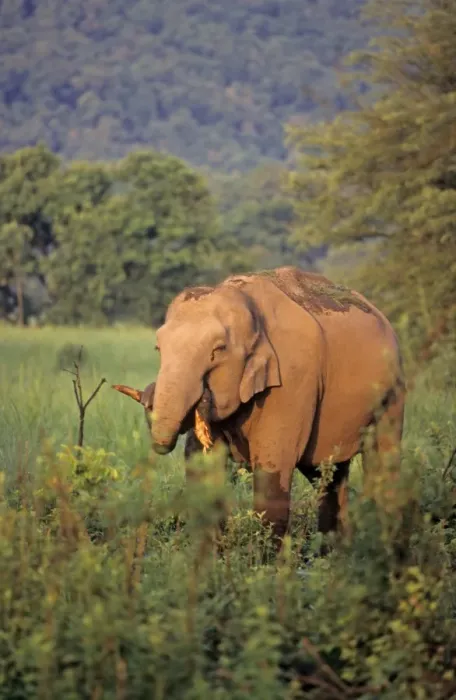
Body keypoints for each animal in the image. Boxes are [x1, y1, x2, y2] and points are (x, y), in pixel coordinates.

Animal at [113, 266, 405, 550]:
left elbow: (272, 471)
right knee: (328, 475)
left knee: (382, 462)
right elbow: (204, 470)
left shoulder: (290, 380)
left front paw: (264, 562)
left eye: (217, 351)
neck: (249, 304)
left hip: (392, 393)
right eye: (158, 348)